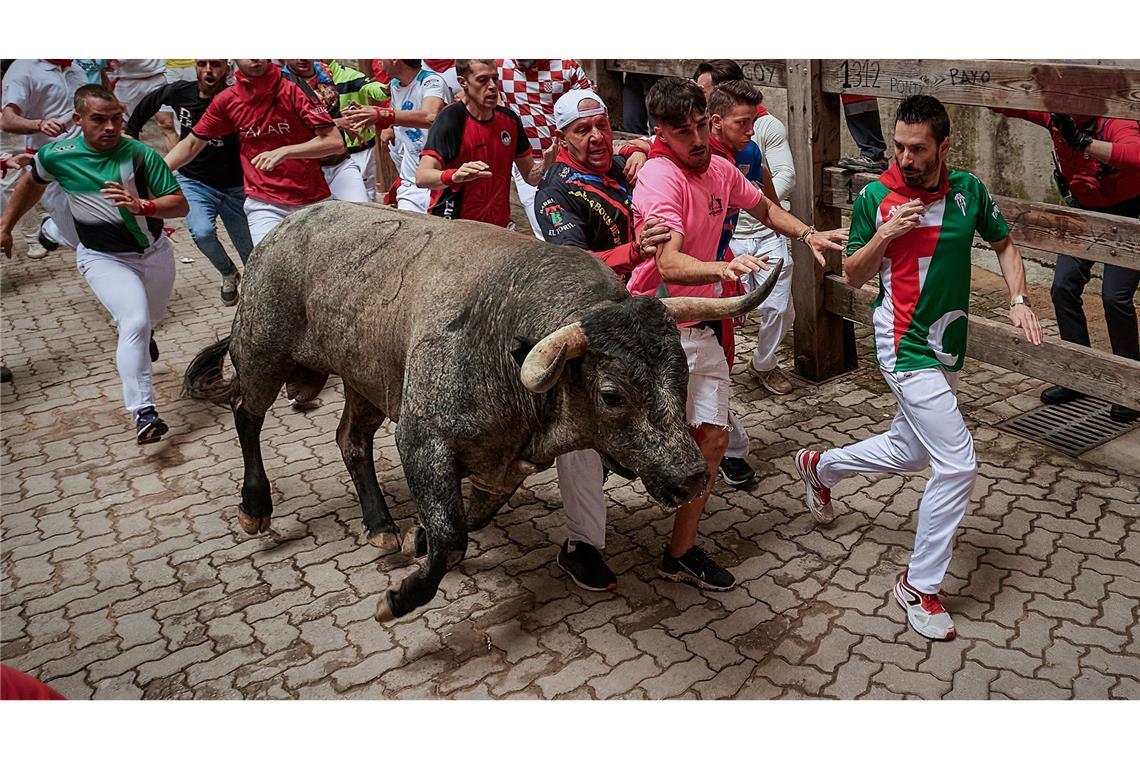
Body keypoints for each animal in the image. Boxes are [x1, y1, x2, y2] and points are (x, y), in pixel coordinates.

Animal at [184, 203, 784, 624]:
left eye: (682, 377)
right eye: (612, 394)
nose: (690, 477)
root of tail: (287, 227)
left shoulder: (503, 468)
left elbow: (466, 519)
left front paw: (416, 538)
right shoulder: (422, 440)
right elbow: (453, 534)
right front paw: (400, 598)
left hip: (364, 380)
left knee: (351, 440)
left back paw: (381, 525)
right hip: (263, 350)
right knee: (245, 412)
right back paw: (255, 506)